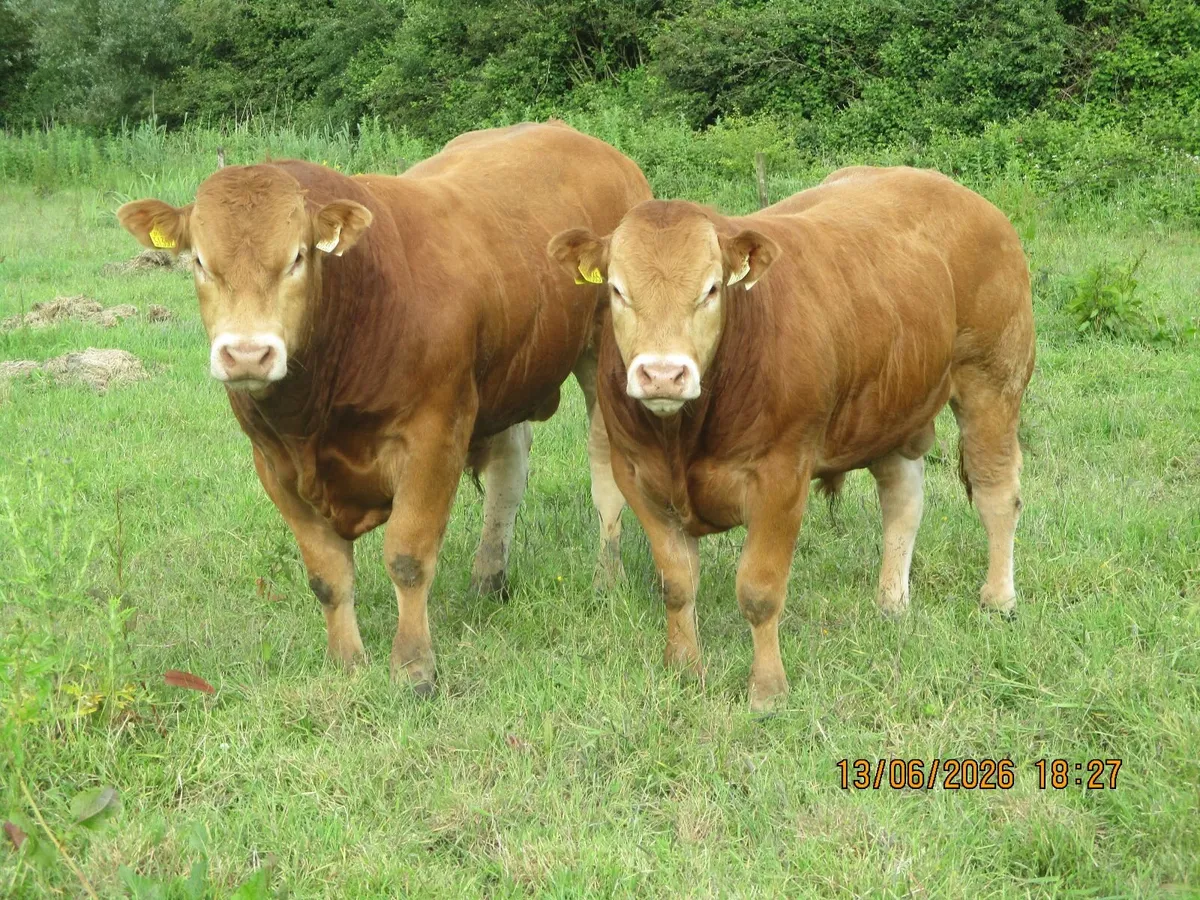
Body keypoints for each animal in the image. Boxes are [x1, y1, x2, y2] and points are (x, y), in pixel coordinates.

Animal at [117, 122, 651, 694]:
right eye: (199, 261)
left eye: (297, 257)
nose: (246, 354)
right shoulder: (274, 462)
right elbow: (326, 575)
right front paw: (347, 661)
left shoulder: (434, 435)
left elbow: (408, 558)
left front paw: (414, 667)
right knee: (509, 471)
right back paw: (488, 578)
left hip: (603, 358)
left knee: (605, 474)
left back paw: (607, 579)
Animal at [549, 166, 1035, 711]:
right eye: (616, 289)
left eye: (711, 289)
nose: (662, 375)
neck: (682, 438)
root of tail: (962, 195)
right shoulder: (636, 475)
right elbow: (676, 584)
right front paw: (684, 670)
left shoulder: (781, 476)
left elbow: (759, 591)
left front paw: (767, 690)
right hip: (892, 406)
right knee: (903, 502)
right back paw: (891, 602)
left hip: (993, 380)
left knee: (997, 495)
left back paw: (998, 599)